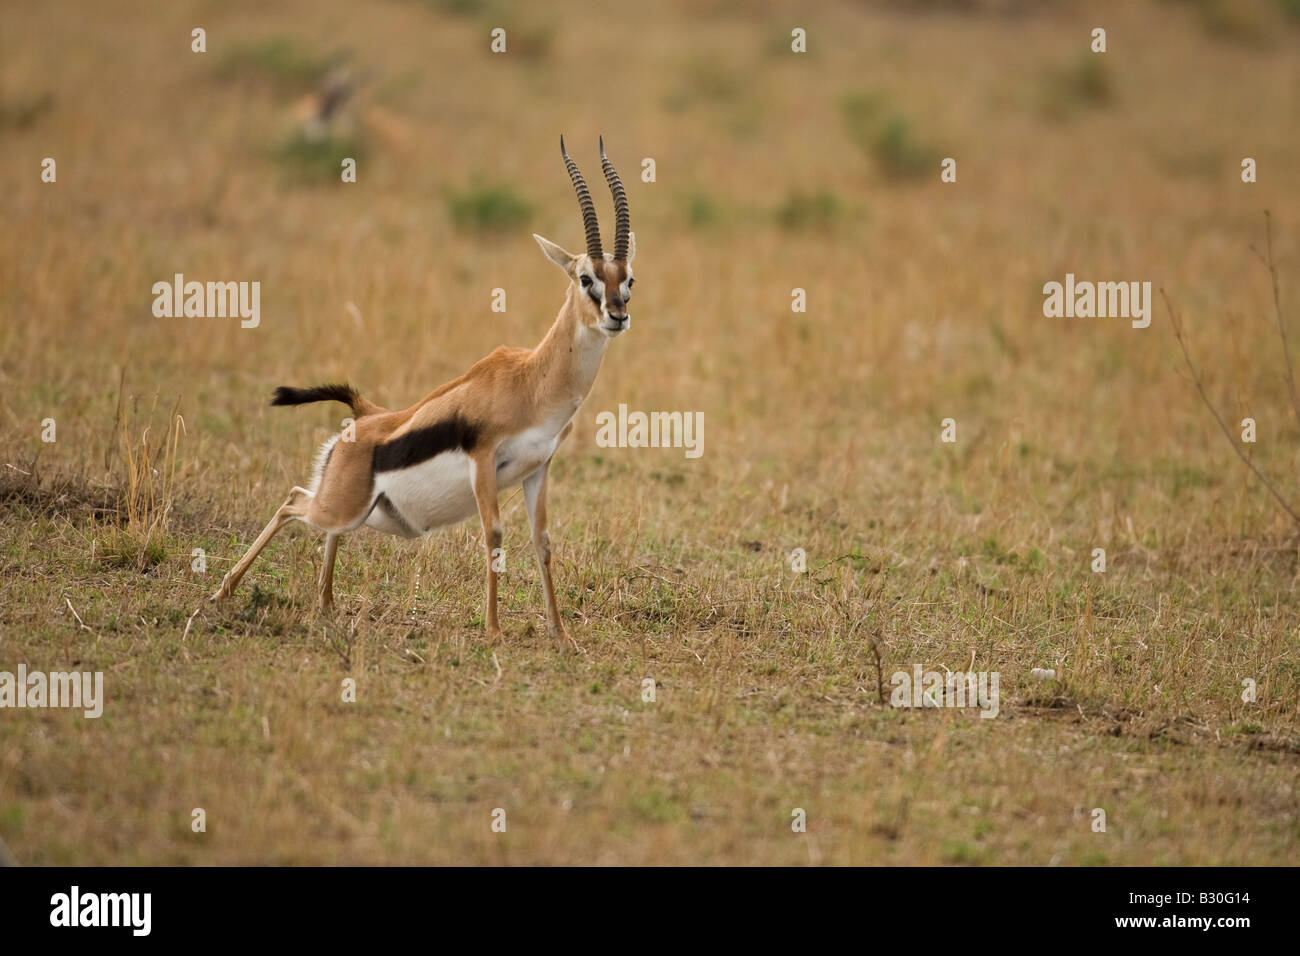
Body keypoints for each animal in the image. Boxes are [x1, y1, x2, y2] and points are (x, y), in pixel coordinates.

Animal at [211, 137, 636, 647]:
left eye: (628, 279)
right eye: (586, 278)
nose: (617, 315)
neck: (531, 382)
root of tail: (367, 414)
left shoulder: (538, 468)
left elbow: (543, 542)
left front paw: (560, 633)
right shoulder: (484, 461)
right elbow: (494, 536)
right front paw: (494, 630)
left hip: (362, 513)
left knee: (318, 520)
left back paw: (325, 603)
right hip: (339, 506)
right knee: (292, 501)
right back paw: (223, 592)